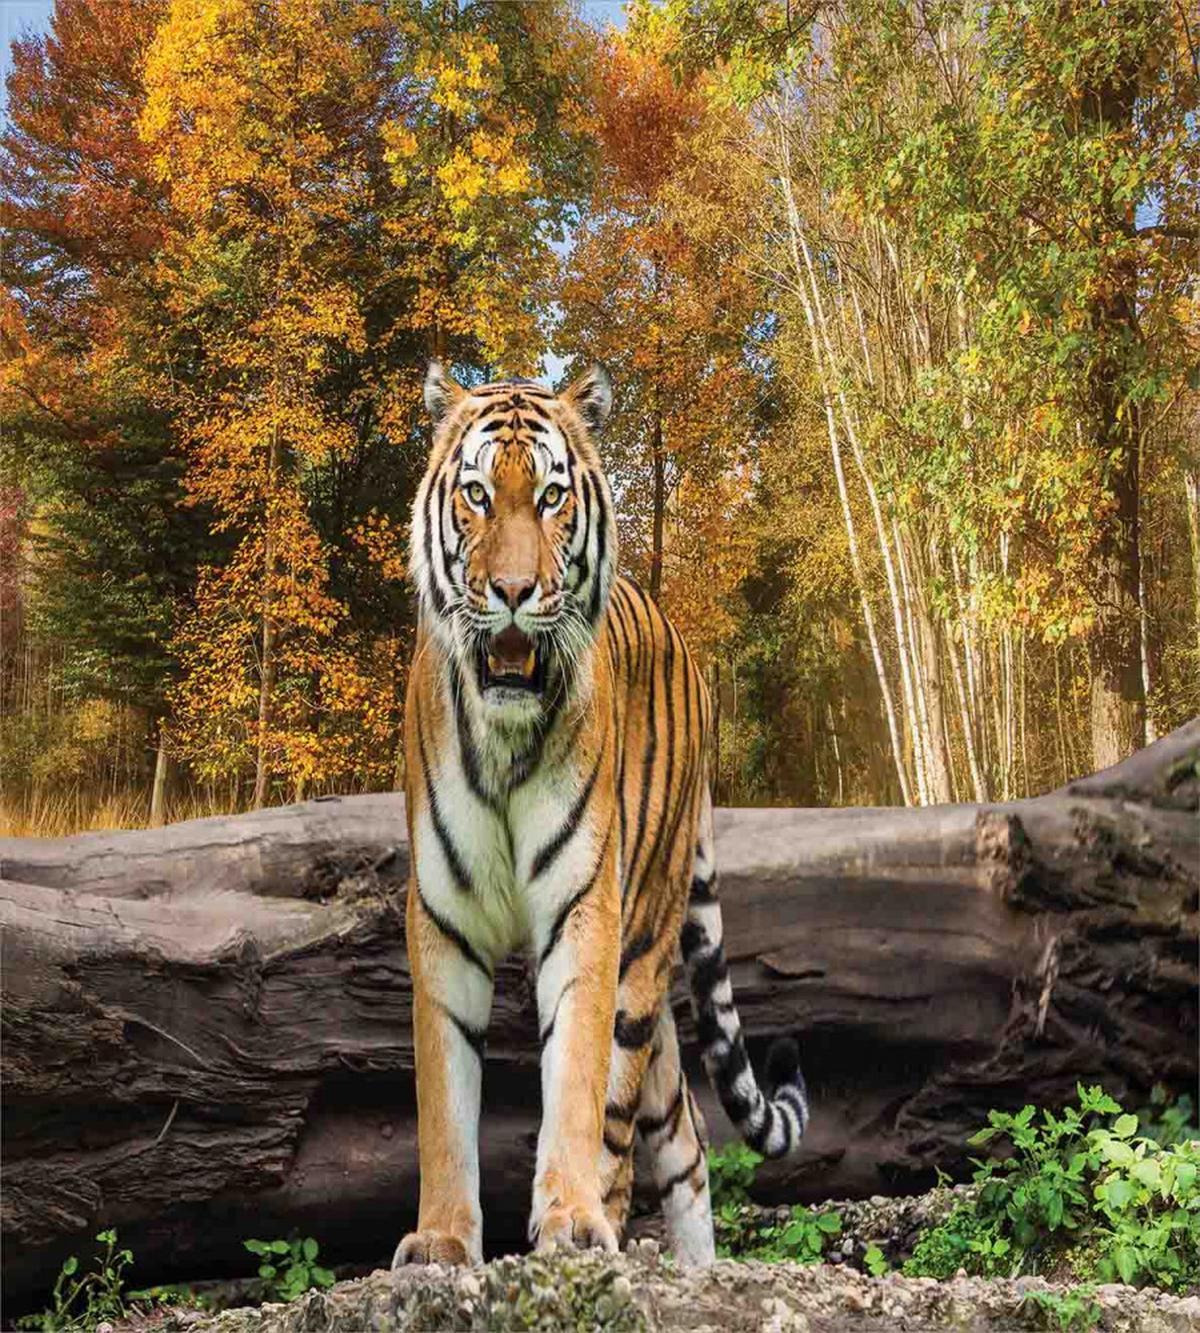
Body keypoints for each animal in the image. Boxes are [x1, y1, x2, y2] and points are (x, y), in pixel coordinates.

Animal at [394, 361, 809, 1270]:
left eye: (552, 497)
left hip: (644, 933)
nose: (514, 592)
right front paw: (441, 1238)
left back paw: (618, 1230)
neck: (507, 737)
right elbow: (444, 1097)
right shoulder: (443, 916)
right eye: (477, 494)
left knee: (635, 1119)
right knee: (685, 1132)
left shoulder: (588, 906)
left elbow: (578, 1081)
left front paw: (571, 1219)